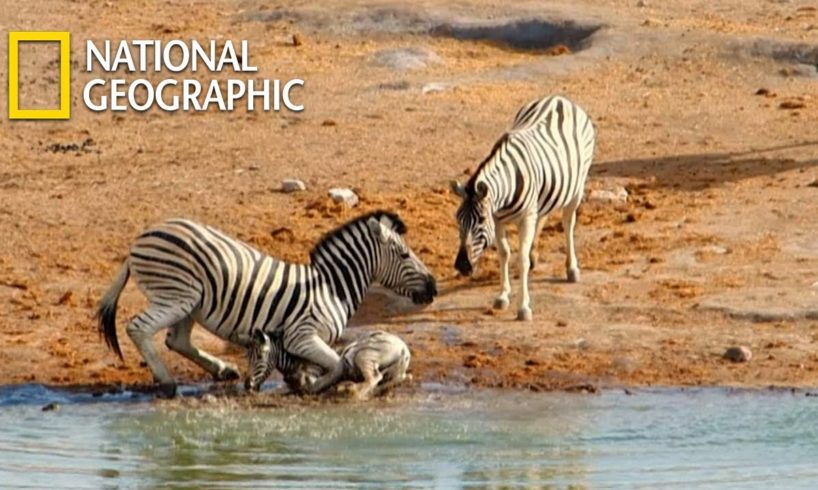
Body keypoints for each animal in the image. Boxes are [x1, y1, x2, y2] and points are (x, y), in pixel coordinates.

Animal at [242, 328, 408, 400]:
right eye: (247, 357)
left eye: (260, 356)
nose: (247, 385)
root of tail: (403, 348)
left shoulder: (310, 380)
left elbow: (278, 390)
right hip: (392, 370)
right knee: (396, 379)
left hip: (363, 356)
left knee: (374, 378)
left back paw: (354, 392)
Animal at [450, 95, 596, 322]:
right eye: (457, 219)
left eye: (481, 220)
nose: (462, 266)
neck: (506, 191)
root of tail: (559, 98)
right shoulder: (498, 220)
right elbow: (504, 253)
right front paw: (502, 296)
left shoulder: (524, 218)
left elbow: (521, 260)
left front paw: (523, 307)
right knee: (544, 215)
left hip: (577, 187)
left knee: (568, 223)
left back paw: (572, 268)